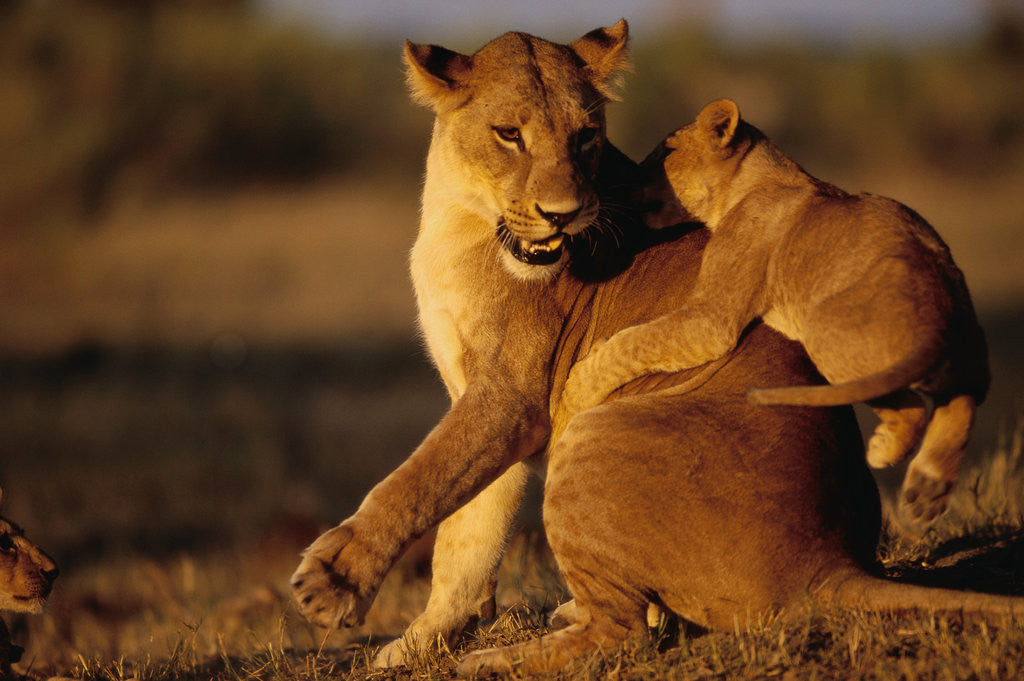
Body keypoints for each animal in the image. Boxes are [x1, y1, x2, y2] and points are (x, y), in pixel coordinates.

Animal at [557, 98, 990, 528]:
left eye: (667, 152)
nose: (621, 185)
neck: (756, 180)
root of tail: (939, 309)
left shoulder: (711, 320)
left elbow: (638, 341)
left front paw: (576, 389)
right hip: (963, 339)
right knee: (964, 397)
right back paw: (927, 491)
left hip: (825, 334)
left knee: (913, 408)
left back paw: (891, 455)